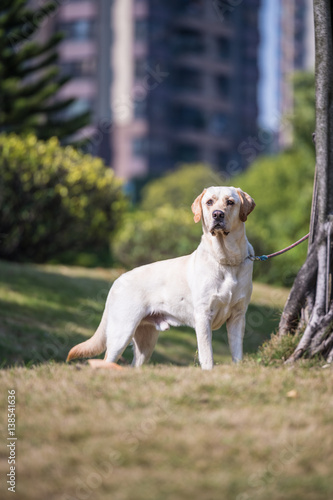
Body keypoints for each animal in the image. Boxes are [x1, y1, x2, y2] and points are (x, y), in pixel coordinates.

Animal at [67, 186, 254, 370]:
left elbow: (237, 353)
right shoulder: (203, 316)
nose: (217, 214)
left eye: (230, 202)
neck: (227, 261)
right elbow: (207, 355)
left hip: (146, 341)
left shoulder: (238, 317)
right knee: (107, 359)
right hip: (122, 332)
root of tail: (118, 279)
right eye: (209, 202)